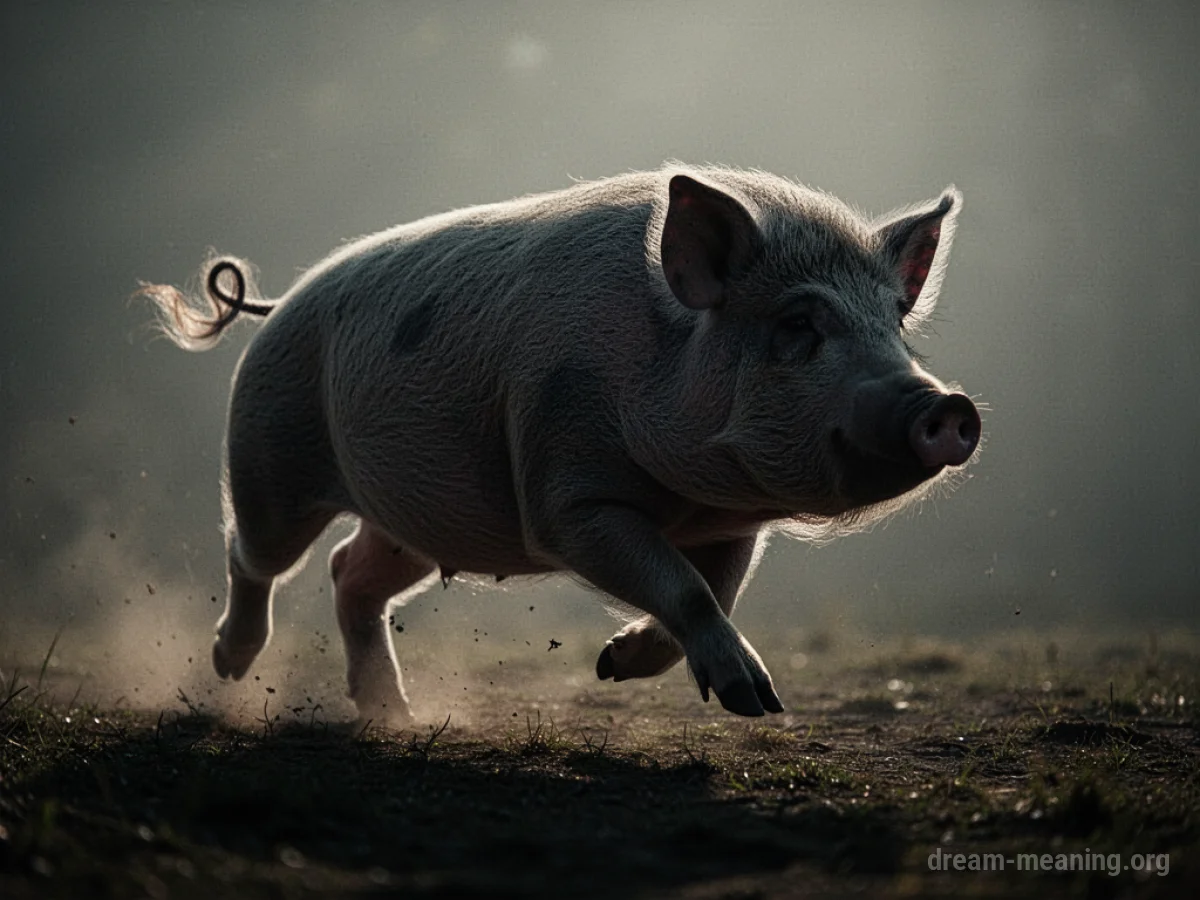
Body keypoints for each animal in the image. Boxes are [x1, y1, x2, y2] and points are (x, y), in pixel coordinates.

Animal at [140, 164, 980, 722]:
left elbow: (714, 590)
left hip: (417, 516)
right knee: (257, 555)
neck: (687, 496)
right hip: (269, 457)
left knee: (352, 573)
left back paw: (396, 718)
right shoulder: (566, 499)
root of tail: (280, 300)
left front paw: (618, 667)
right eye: (798, 326)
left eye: (894, 323)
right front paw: (756, 702)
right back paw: (230, 664)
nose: (949, 406)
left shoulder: (735, 524)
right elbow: (685, 587)